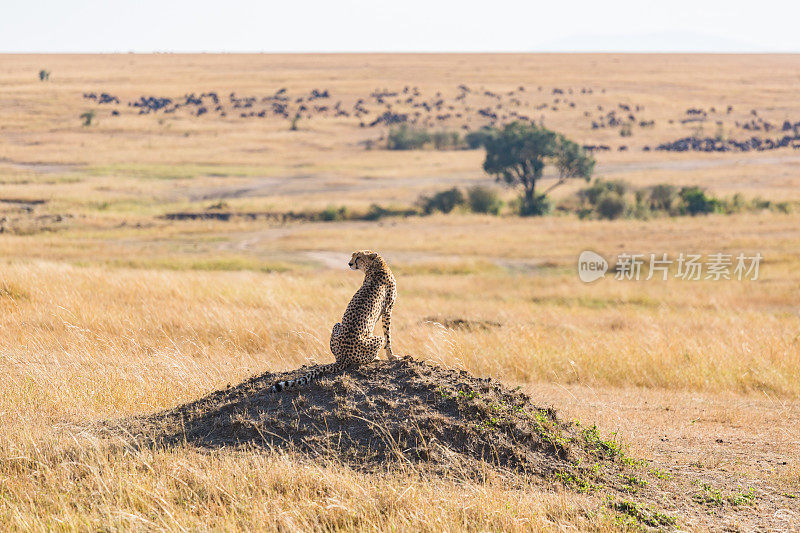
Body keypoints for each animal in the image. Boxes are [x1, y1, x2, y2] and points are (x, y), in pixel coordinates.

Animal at [272, 249, 396, 390]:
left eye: (358, 257)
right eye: (353, 256)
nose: (349, 263)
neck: (377, 266)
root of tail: (342, 358)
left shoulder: (386, 310)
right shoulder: (388, 310)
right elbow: (388, 336)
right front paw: (392, 356)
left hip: (337, 325)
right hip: (376, 339)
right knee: (371, 351)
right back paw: (376, 358)